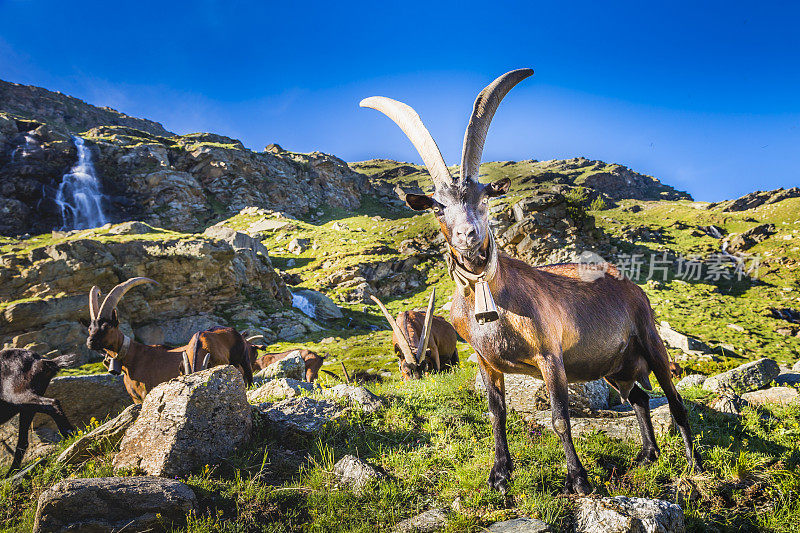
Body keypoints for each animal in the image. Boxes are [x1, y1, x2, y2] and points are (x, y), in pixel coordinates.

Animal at [360, 67, 704, 494]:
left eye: (485, 197)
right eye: (438, 208)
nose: (468, 236)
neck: (493, 299)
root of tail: (629, 284)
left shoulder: (549, 356)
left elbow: (559, 418)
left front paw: (578, 480)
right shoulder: (486, 362)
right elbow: (496, 414)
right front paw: (499, 475)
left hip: (649, 341)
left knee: (674, 400)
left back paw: (693, 463)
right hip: (613, 364)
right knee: (639, 397)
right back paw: (646, 456)